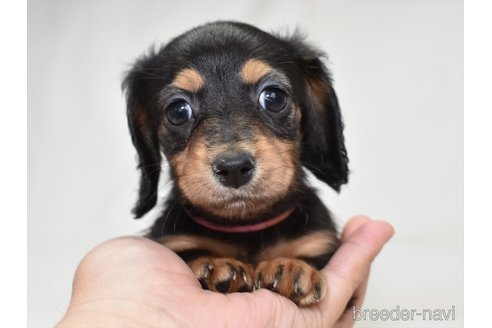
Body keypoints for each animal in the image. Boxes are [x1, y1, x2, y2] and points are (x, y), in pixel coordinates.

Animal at [125, 21, 348, 306]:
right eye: (178, 111)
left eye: (273, 97)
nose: (233, 169)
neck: (246, 226)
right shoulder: (174, 241)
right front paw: (216, 264)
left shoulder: (317, 241)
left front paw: (291, 266)